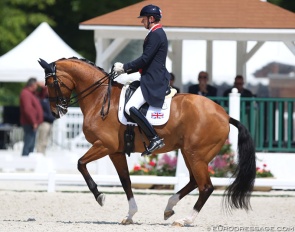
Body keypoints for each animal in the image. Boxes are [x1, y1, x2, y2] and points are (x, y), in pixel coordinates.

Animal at [38, 57, 256, 227]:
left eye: (50, 83)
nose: (56, 112)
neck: (99, 98)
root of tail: (225, 115)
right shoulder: (116, 151)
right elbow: (125, 180)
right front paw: (130, 215)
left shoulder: (104, 145)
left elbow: (80, 164)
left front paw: (100, 196)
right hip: (190, 153)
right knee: (195, 181)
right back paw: (169, 207)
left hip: (196, 155)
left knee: (206, 187)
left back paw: (185, 220)